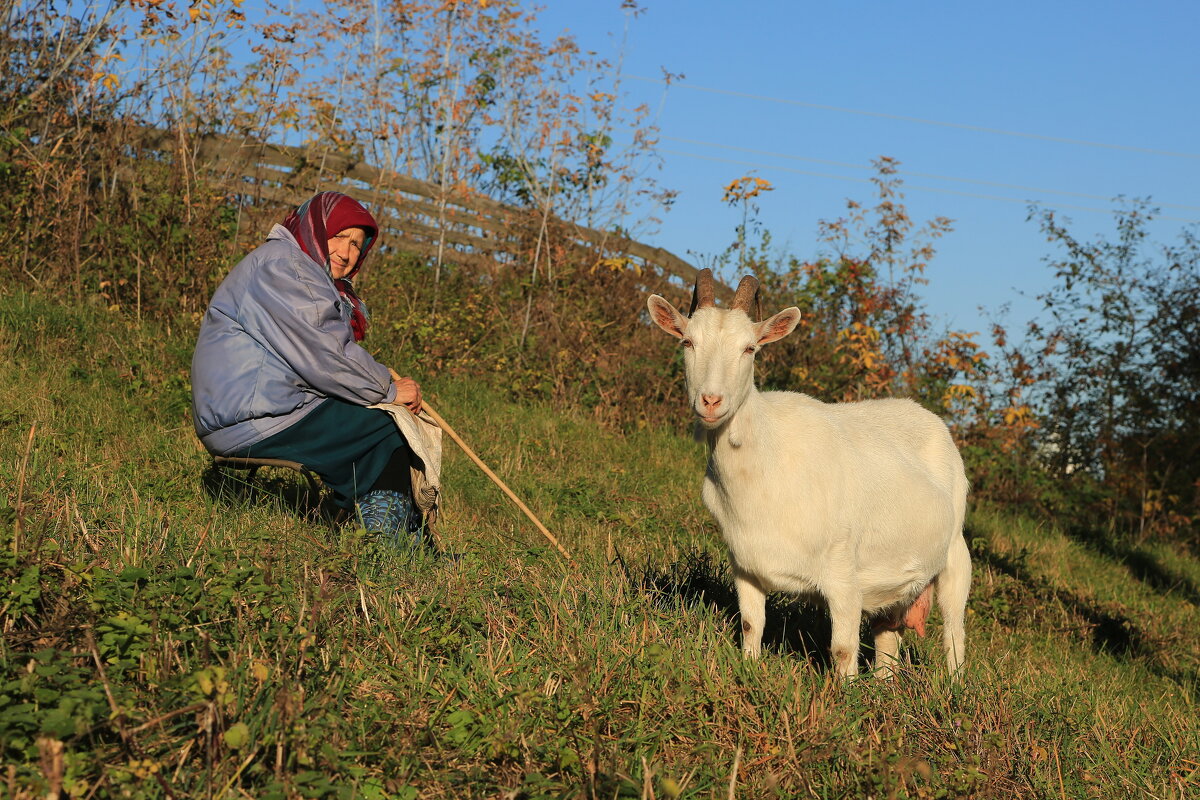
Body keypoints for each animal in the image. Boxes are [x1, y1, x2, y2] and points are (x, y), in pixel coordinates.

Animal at [652, 271, 969, 676]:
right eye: (687, 342)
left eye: (749, 349)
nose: (710, 401)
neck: (766, 463)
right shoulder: (745, 565)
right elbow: (751, 624)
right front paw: (750, 669)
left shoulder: (843, 574)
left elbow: (843, 649)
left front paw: (846, 691)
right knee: (887, 636)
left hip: (955, 553)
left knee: (954, 632)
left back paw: (954, 683)